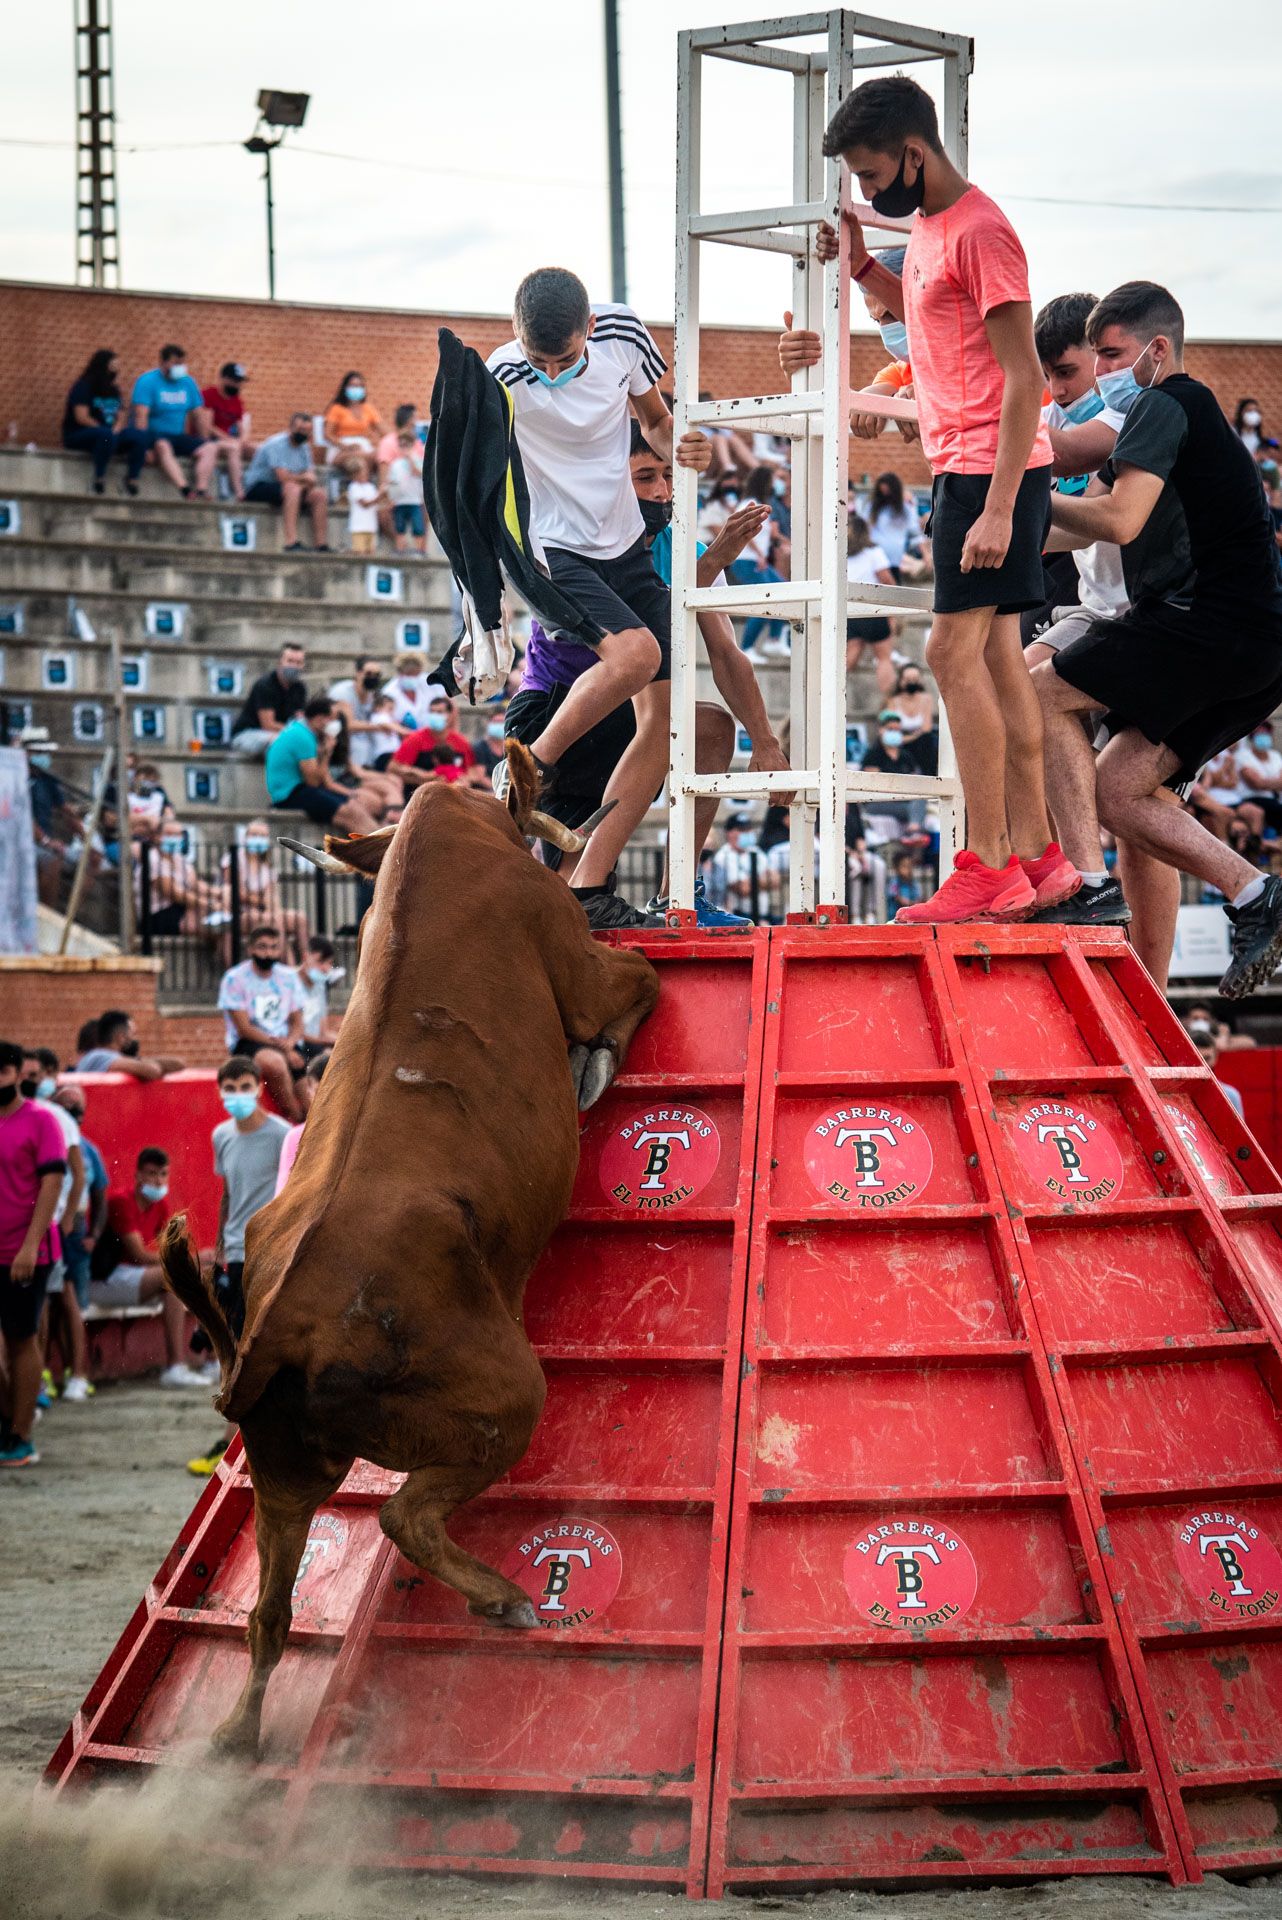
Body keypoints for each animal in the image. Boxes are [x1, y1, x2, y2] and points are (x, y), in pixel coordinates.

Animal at [160, 744, 656, 1758]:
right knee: (403, 1514)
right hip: (501, 1399)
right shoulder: (581, 964)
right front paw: (595, 1061)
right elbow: (635, 983)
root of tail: (274, 1333)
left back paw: (236, 1736)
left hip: (284, 1474)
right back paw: (506, 1600)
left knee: (268, 1614)